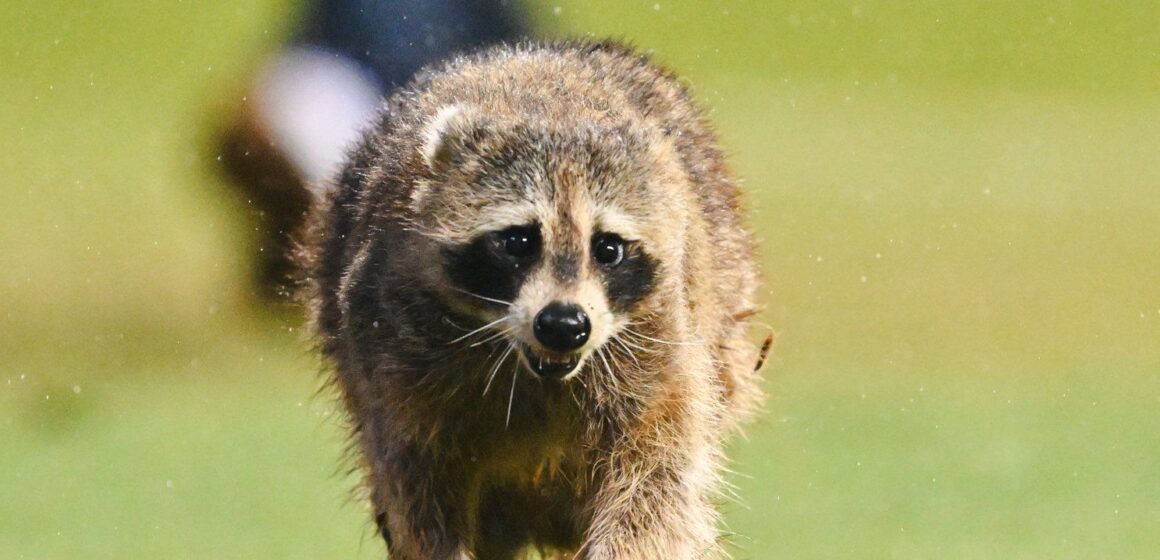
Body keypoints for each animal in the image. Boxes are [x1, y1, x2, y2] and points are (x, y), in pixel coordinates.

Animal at [299, 40, 765, 560]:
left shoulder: (662, 343)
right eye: (519, 242)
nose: (564, 325)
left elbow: (657, 481)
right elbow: (415, 487)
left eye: (608, 249)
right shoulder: (390, 344)